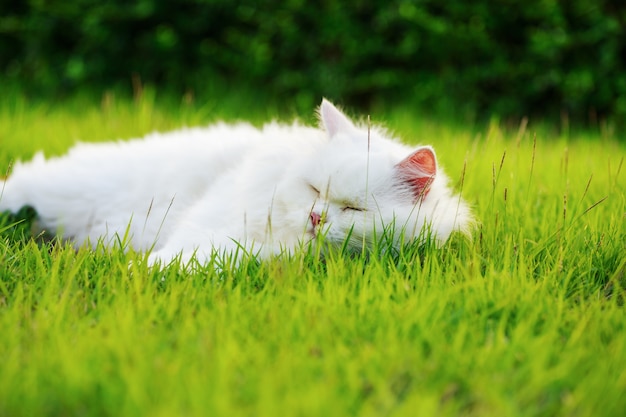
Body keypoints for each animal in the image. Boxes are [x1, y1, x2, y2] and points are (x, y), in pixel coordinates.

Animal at [0, 99, 468, 264]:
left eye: (353, 209)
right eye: (315, 190)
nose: (316, 218)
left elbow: (204, 258)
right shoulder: (213, 219)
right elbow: (175, 254)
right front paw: (139, 274)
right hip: (60, 190)